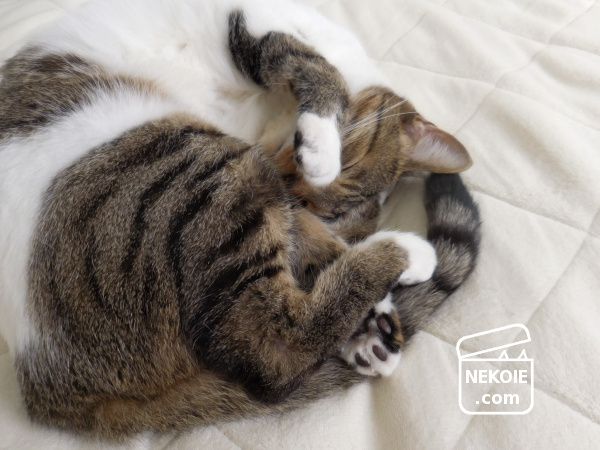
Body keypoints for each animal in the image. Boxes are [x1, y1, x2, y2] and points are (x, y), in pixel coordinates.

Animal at [0, 0, 480, 438]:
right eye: (349, 158)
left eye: (323, 205)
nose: (293, 176)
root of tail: (49, 388)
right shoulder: (249, 19)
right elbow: (315, 66)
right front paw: (322, 143)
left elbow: (312, 238)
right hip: (205, 172)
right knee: (271, 349)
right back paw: (403, 257)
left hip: (214, 179)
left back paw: (375, 322)